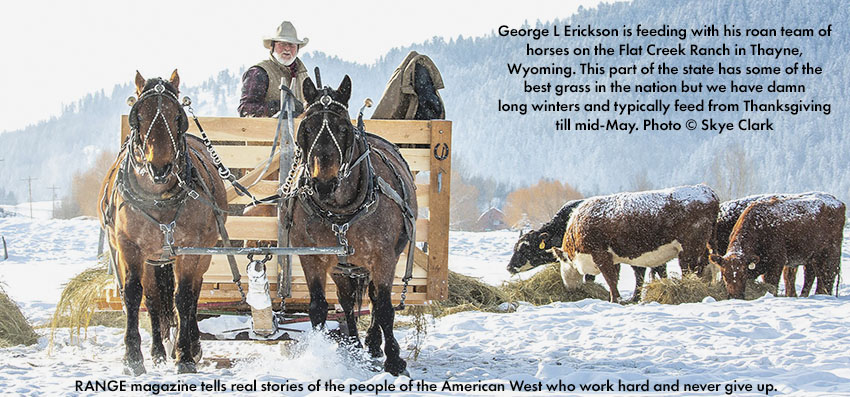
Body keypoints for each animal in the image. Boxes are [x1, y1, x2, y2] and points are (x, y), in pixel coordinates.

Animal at [97, 70, 225, 374]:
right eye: (139, 116)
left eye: (177, 116)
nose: (160, 168)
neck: (159, 198)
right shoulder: (129, 247)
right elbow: (134, 295)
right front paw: (133, 358)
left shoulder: (190, 250)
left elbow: (184, 297)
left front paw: (185, 356)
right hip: (151, 259)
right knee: (154, 299)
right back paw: (156, 352)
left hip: (200, 254)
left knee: (193, 294)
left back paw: (191, 344)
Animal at [288, 74, 418, 374]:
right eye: (306, 127)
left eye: (343, 128)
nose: (323, 183)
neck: (340, 212)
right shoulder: (312, 258)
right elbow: (318, 307)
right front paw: (320, 355)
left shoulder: (383, 258)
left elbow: (384, 308)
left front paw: (394, 360)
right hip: (342, 266)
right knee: (347, 299)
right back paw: (357, 344)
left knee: (374, 298)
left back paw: (373, 342)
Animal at [548, 184, 716, 302]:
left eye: (561, 262)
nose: (568, 287)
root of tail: (706, 190)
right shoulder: (614, 258)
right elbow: (621, 279)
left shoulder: (600, 255)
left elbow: (611, 280)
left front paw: (615, 300)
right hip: (703, 249)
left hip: (689, 250)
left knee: (688, 271)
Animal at [708, 193, 840, 298]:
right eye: (725, 275)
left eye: (743, 273)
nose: (735, 296)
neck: (759, 226)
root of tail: (838, 202)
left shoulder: (776, 263)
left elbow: (772, 282)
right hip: (811, 258)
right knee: (811, 276)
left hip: (830, 254)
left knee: (828, 275)